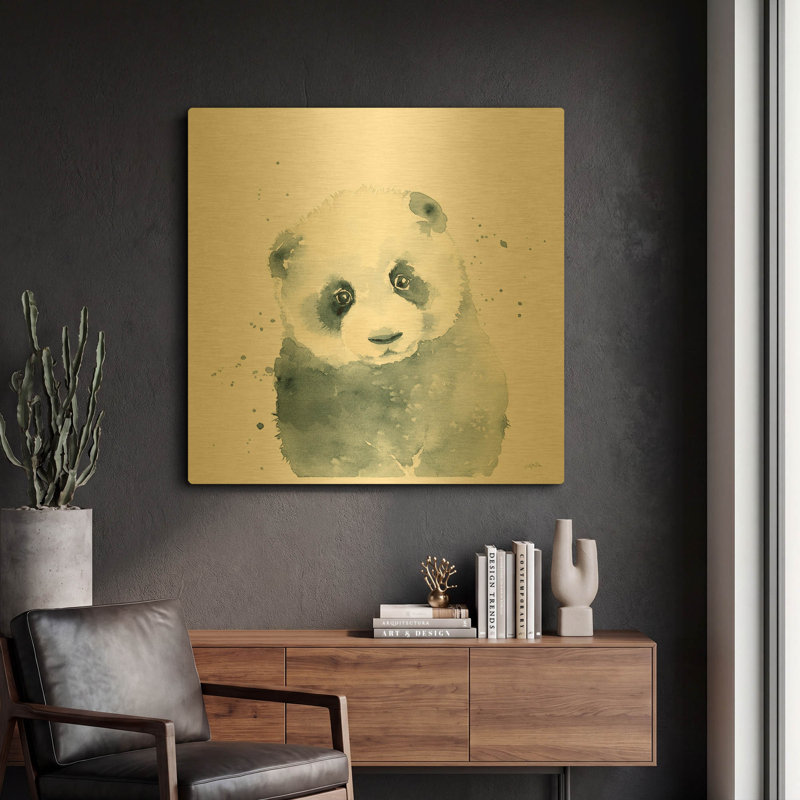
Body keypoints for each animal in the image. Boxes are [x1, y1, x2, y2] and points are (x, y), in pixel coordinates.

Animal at [268, 187, 508, 478]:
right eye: (342, 296)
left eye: (402, 279)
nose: (385, 337)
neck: (390, 375)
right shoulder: (310, 390)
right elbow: (331, 450)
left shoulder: (460, 363)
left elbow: (465, 430)